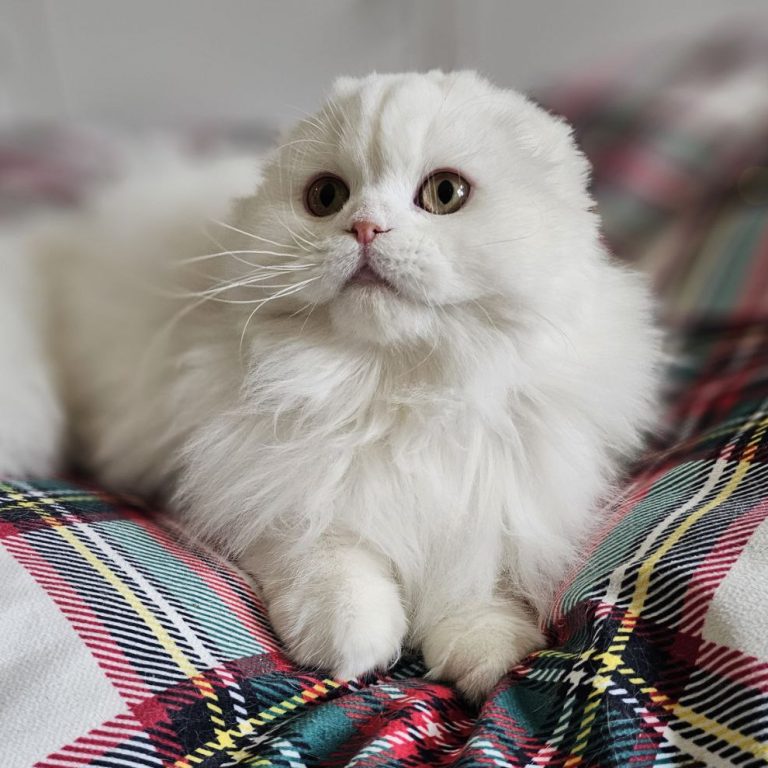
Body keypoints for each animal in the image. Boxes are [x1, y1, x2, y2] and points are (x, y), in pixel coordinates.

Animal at [0, 72, 660, 704]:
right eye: (326, 197)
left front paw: (487, 656)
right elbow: (332, 568)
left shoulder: (487, 511)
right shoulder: (268, 493)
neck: (398, 392)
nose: (364, 227)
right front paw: (354, 644)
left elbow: (476, 590)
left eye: (445, 193)